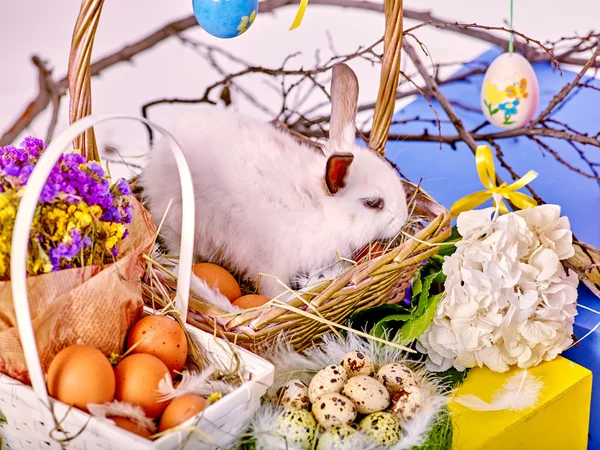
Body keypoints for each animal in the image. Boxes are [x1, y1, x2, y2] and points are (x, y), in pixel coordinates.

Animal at [142, 63, 408, 298]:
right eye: (373, 203)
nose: (403, 220)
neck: (320, 210)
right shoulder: (270, 264)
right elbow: (274, 290)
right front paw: (286, 301)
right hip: (178, 223)